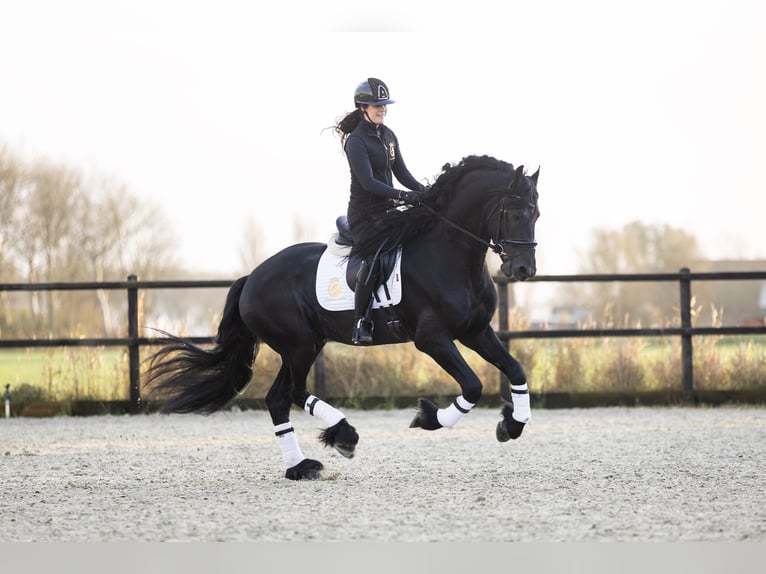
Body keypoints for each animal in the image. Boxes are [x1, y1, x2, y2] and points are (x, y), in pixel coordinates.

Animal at [144, 154, 540, 482]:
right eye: (516, 214)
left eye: (536, 214)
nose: (524, 269)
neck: (450, 255)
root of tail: (251, 278)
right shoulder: (432, 339)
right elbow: (472, 385)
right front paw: (428, 418)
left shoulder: (476, 331)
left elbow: (516, 370)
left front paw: (513, 424)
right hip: (299, 345)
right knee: (293, 392)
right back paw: (342, 437)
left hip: (306, 344)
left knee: (278, 399)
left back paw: (301, 467)